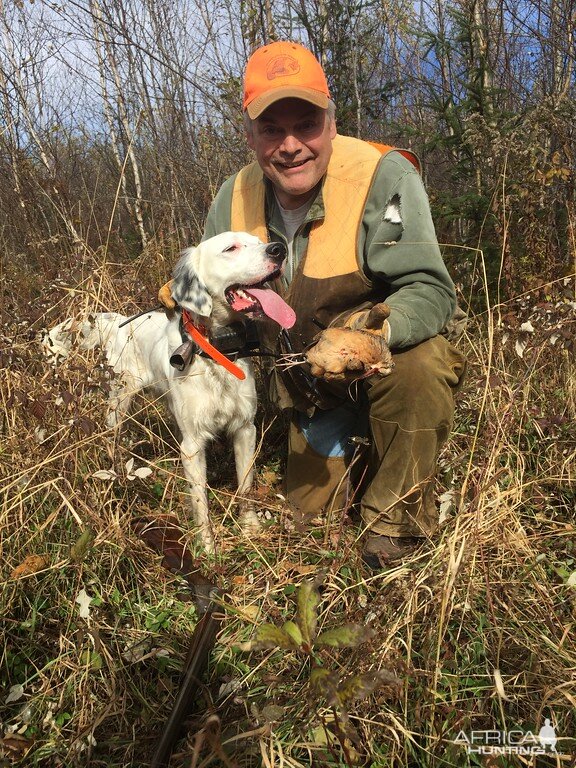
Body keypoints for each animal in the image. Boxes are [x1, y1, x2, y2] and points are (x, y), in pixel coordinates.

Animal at [45, 234, 294, 552]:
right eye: (231, 248)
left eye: (259, 240)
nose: (279, 249)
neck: (213, 355)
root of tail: (118, 324)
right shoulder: (192, 446)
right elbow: (200, 502)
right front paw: (207, 547)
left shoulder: (245, 429)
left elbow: (245, 484)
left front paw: (250, 528)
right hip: (119, 399)